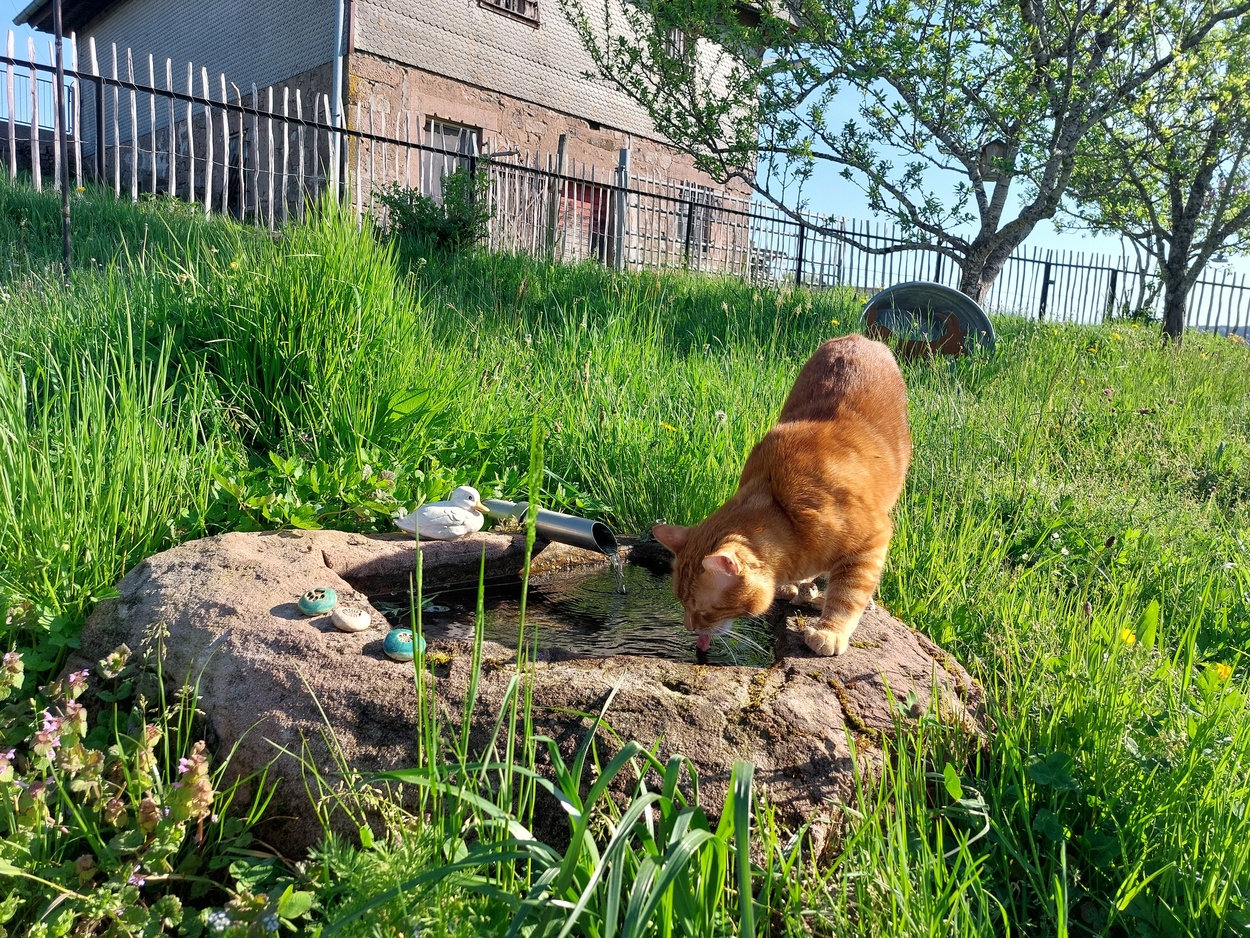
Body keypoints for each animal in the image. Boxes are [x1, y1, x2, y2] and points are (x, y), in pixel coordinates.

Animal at [653, 334, 912, 656]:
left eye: (703, 610)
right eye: (681, 603)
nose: (689, 627)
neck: (784, 508)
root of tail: (860, 337)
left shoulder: (871, 541)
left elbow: (847, 594)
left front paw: (830, 631)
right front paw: (797, 587)